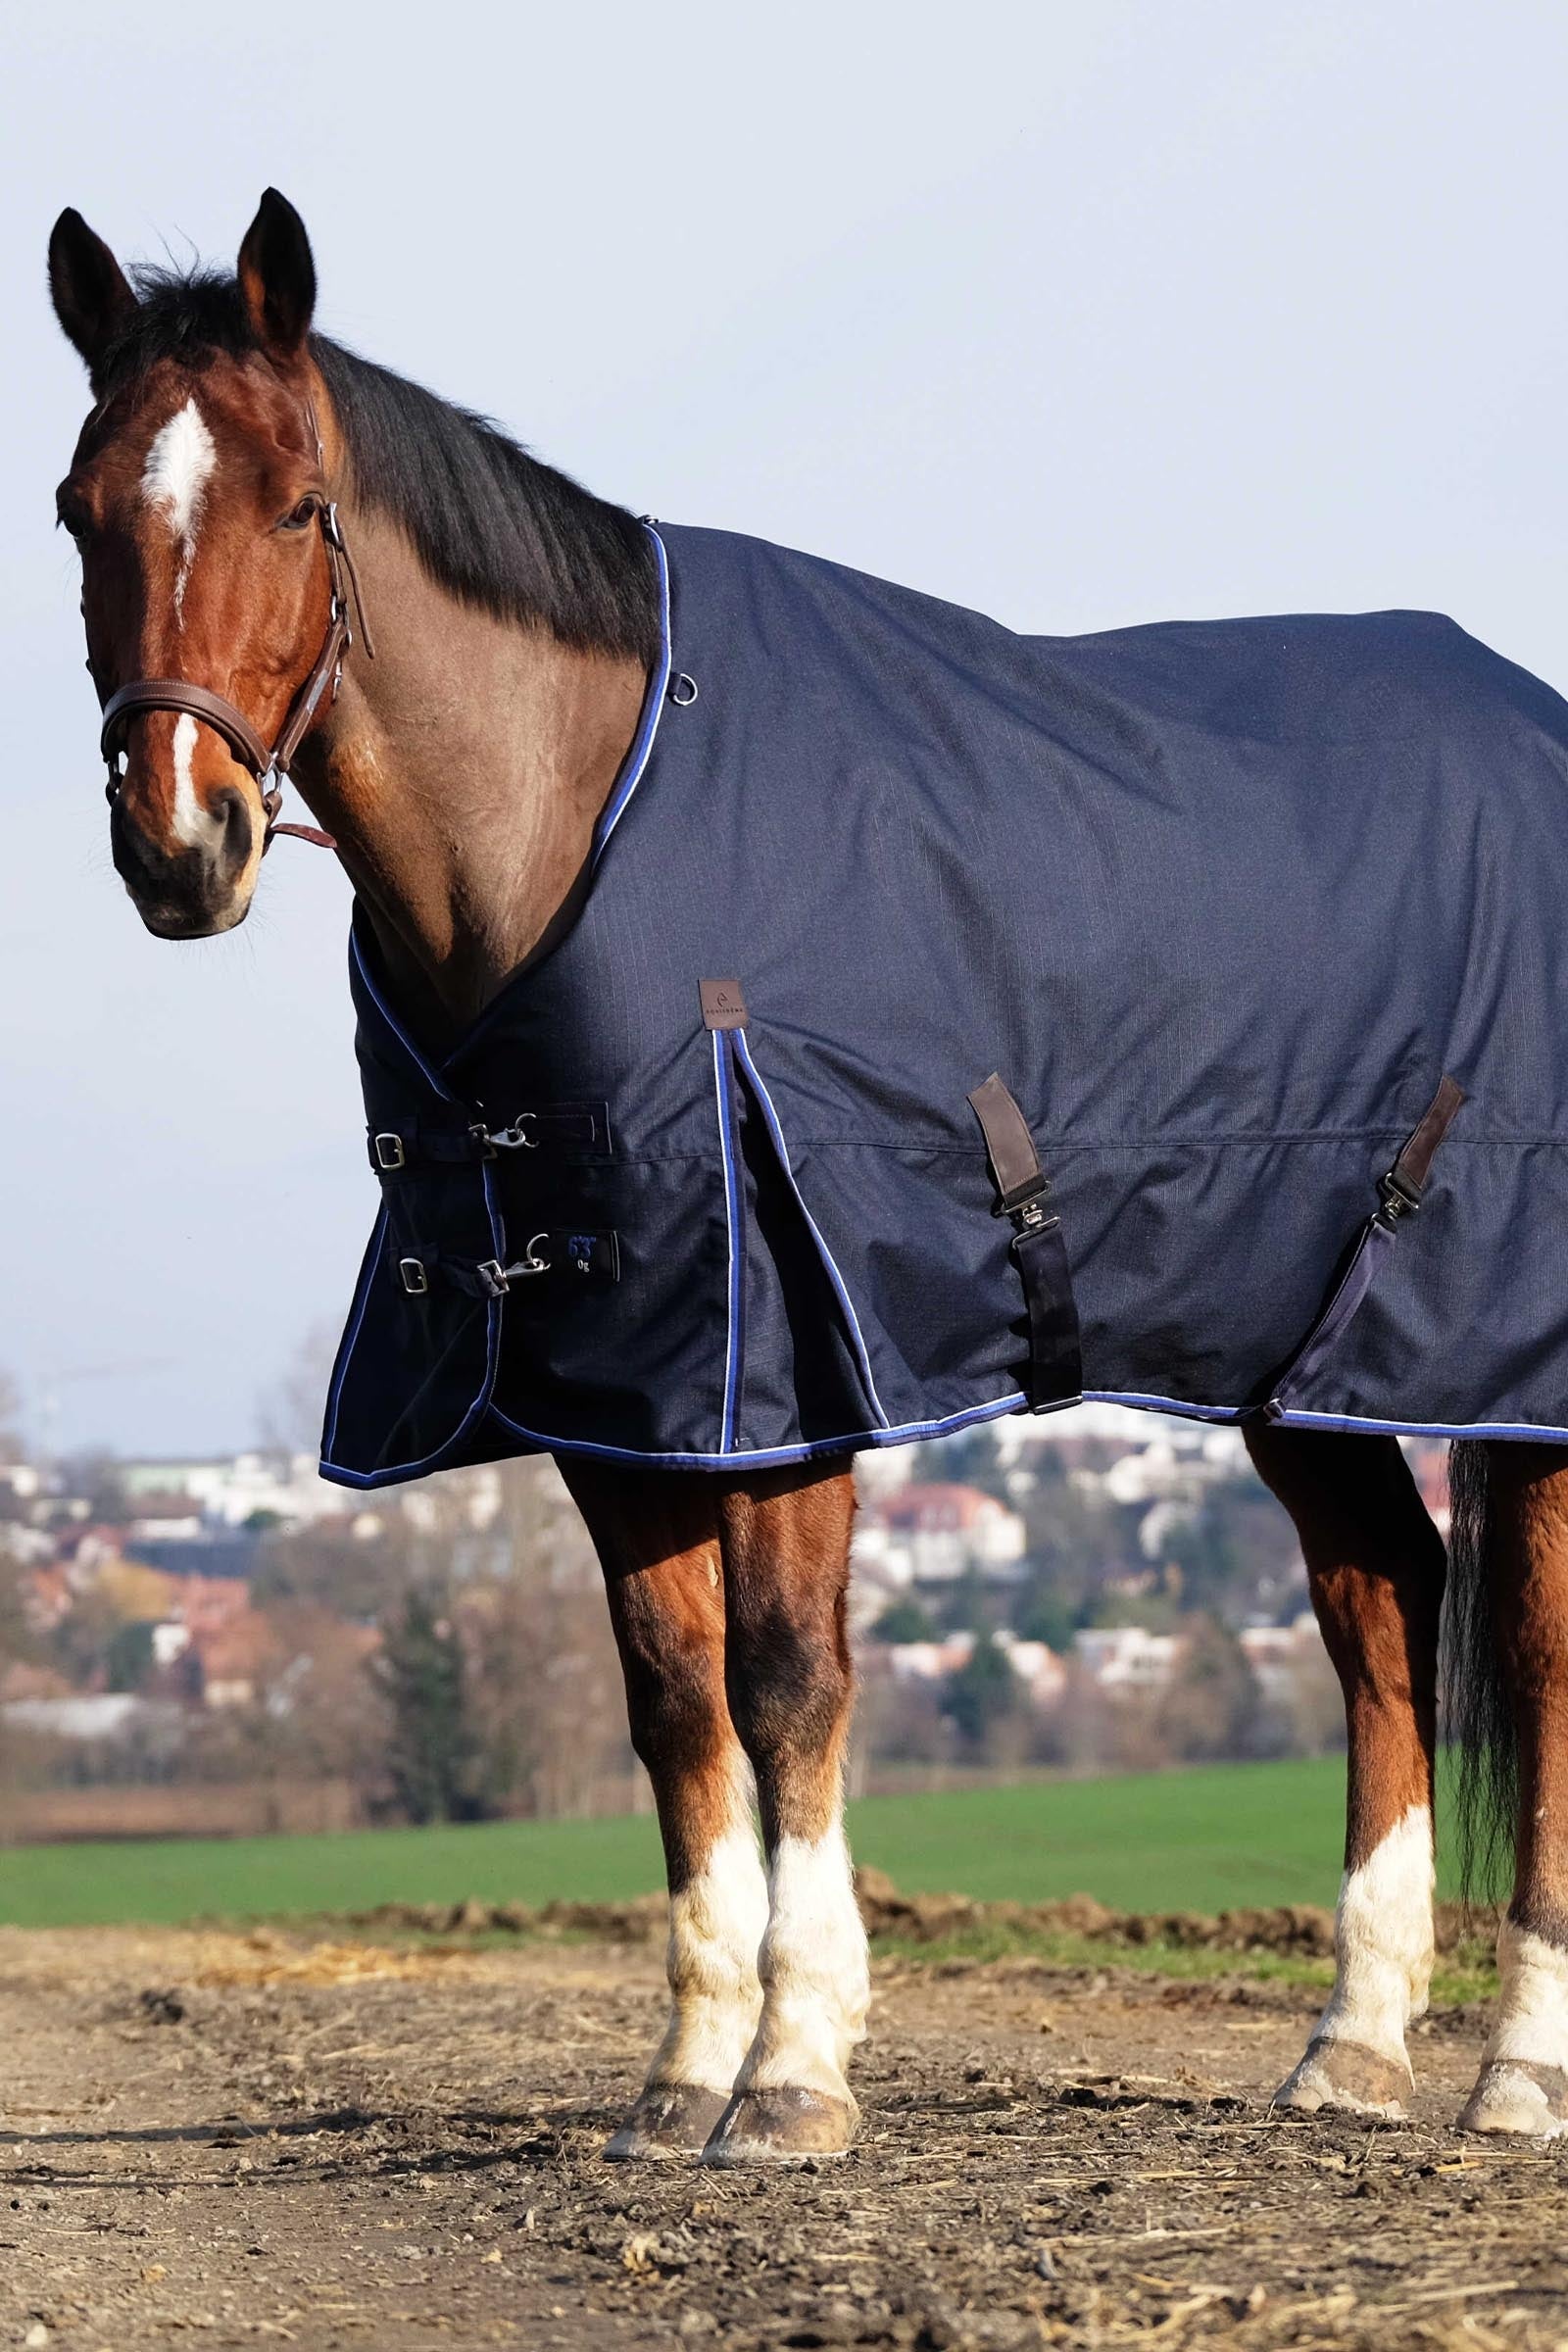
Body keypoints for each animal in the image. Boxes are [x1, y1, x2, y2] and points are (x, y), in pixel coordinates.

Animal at [47, 188, 1568, 2158]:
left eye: (300, 503)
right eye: (78, 508)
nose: (182, 841)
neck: (585, 815)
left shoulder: (780, 1350)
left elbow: (786, 1683)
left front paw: (792, 2069)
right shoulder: (612, 1378)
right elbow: (673, 1700)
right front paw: (684, 2067)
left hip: (1502, 1348)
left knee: (1533, 1655)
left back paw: (1521, 2068)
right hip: (1307, 1357)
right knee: (1381, 1609)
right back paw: (1356, 2047)